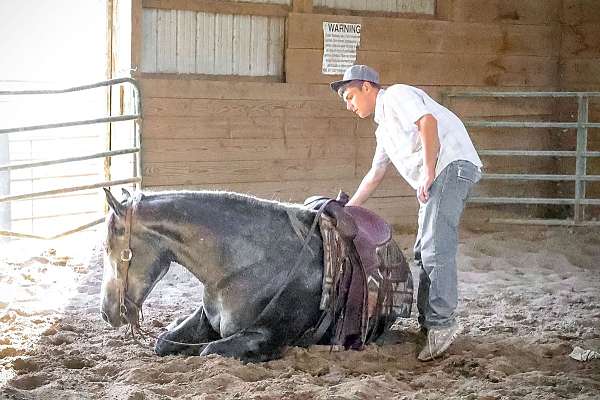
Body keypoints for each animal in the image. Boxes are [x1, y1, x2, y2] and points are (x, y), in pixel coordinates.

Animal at [101, 188, 412, 362]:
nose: (106, 312)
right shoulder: (205, 320)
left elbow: (208, 351)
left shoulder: (266, 337)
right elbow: (163, 341)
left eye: (109, 247)